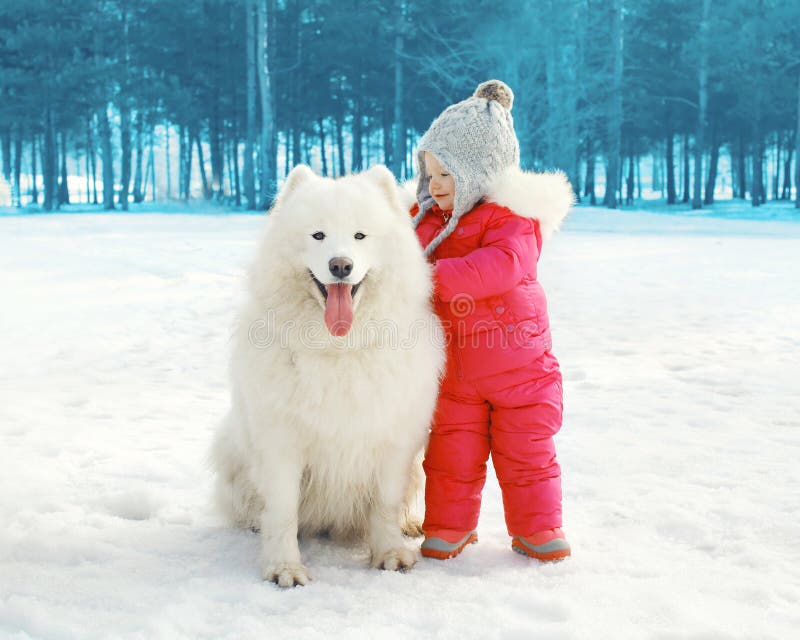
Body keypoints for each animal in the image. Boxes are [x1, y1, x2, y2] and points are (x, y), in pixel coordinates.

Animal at [209, 164, 446, 584]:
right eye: (318, 235)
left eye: (360, 236)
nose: (340, 266)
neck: (340, 348)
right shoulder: (281, 443)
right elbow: (283, 512)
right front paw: (284, 568)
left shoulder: (394, 442)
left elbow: (385, 504)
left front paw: (389, 553)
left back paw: (411, 525)